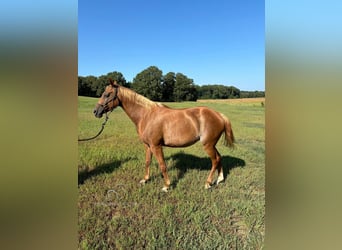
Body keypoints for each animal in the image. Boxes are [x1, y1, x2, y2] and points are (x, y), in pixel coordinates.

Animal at [93, 79, 235, 192]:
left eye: (107, 94)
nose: (96, 111)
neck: (146, 115)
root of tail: (219, 115)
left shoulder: (156, 146)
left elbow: (162, 165)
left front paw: (166, 186)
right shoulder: (147, 145)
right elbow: (147, 162)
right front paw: (145, 179)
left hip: (208, 145)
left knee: (214, 160)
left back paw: (207, 183)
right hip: (211, 145)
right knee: (219, 157)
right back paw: (219, 179)